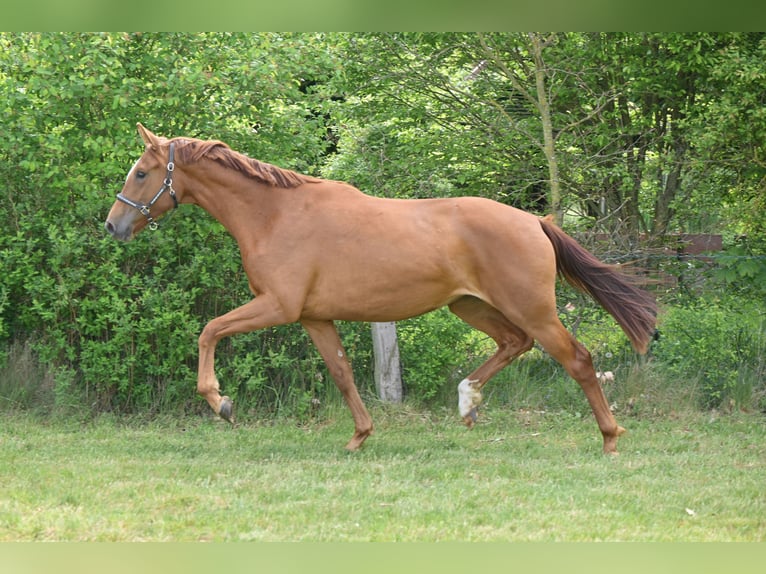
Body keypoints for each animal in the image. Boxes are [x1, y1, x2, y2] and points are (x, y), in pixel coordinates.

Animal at [105, 123, 657, 454]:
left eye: (141, 172)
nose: (113, 225)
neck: (273, 216)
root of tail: (534, 221)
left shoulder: (277, 306)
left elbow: (208, 330)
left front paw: (220, 402)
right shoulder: (313, 316)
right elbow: (343, 373)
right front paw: (360, 436)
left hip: (533, 308)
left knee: (577, 360)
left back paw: (610, 439)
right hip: (469, 307)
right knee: (512, 344)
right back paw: (468, 403)